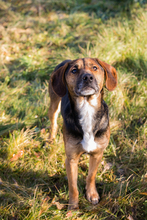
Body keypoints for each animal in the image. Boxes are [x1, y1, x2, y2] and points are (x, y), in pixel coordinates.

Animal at [48, 58, 117, 210]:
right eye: (74, 70)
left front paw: (92, 195)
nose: (88, 77)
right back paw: (49, 141)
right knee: (53, 123)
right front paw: (73, 207)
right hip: (53, 103)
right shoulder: (71, 159)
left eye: (95, 68)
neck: (87, 109)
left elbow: (91, 176)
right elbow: (73, 187)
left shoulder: (97, 154)